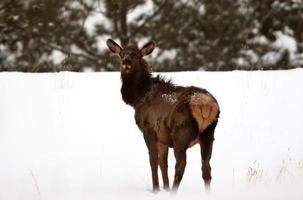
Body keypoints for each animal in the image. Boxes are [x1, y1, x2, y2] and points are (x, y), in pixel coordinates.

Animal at [107, 38, 221, 192]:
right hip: (209, 134)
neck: (138, 97)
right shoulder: (162, 137)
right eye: (122, 54)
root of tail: (205, 105)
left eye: (137, 56)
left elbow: (153, 160)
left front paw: (156, 189)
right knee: (206, 168)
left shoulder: (149, 129)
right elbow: (163, 163)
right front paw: (165, 188)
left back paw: (173, 191)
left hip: (181, 133)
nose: (126, 62)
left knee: (180, 166)